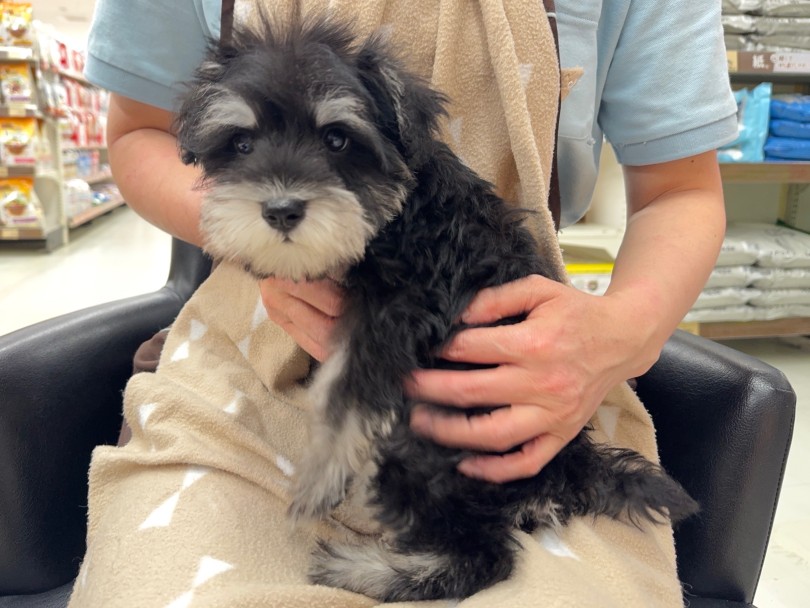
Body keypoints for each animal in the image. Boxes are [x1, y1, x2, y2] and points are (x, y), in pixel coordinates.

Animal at [175, 15, 698, 602]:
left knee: (483, 557)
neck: (403, 211)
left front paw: (319, 475)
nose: (282, 210)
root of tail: (570, 472)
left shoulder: (405, 306)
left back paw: (362, 569)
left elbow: (346, 388)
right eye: (241, 143)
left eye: (337, 139)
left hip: (431, 448)